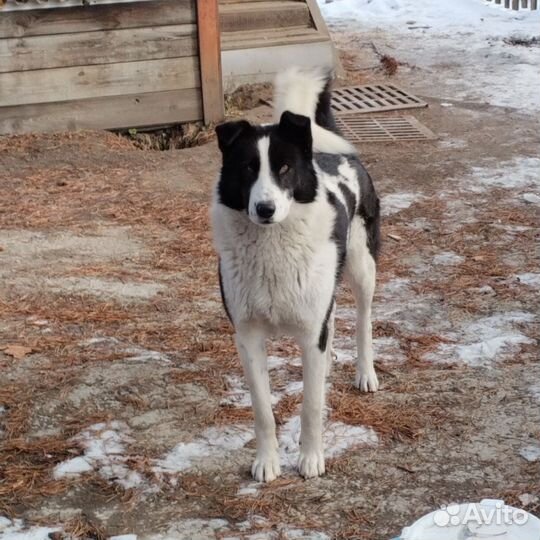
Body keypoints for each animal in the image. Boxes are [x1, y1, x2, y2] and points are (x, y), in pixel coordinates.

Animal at [211, 68, 380, 480]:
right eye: (248, 169)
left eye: (284, 169)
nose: (265, 208)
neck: (272, 250)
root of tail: (333, 154)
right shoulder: (248, 338)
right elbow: (262, 411)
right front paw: (266, 462)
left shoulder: (309, 335)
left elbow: (311, 406)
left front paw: (311, 459)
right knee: (332, 322)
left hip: (361, 267)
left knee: (364, 320)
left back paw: (365, 372)